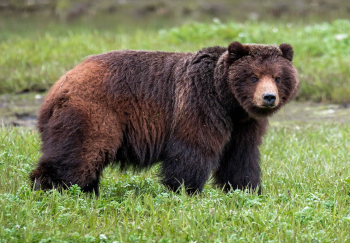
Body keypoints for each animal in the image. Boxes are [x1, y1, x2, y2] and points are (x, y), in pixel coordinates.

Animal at [30, 40, 298, 195]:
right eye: (254, 76)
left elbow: (241, 156)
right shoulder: (199, 102)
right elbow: (193, 148)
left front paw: (245, 189)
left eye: (277, 77)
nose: (268, 97)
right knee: (81, 152)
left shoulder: (243, 124)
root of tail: (59, 84)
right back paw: (51, 187)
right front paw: (185, 189)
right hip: (95, 111)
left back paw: (87, 190)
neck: (228, 100)